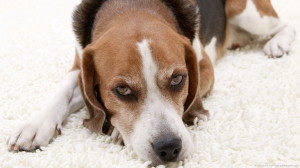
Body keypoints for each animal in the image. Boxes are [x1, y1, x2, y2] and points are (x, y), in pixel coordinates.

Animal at [7, 0, 296, 165]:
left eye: (178, 79)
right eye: (122, 90)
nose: (169, 148)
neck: (132, 6)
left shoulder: (205, 67)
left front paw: (116, 131)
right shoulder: (80, 64)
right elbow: (62, 91)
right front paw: (34, 126)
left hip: (249, 13)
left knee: (286, 24)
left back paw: (278, 43)